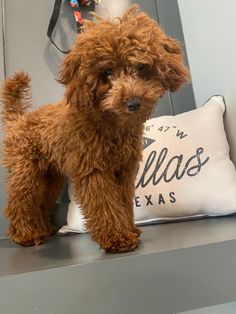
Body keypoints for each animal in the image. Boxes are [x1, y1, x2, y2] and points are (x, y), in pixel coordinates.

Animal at [0, 5, 188, 253]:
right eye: (107, 72)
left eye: (141, 67)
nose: (133, 103)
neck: (110, 123)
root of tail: (19, 119)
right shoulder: (93, 169)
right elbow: (105, 203)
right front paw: (117, 237)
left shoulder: (124, 170)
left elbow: (123, 202)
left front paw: (129, 229)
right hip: (26, 170)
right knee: (19, 201)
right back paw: (24, 235)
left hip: (50, 176)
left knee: (40, 202)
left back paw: (42, 228)